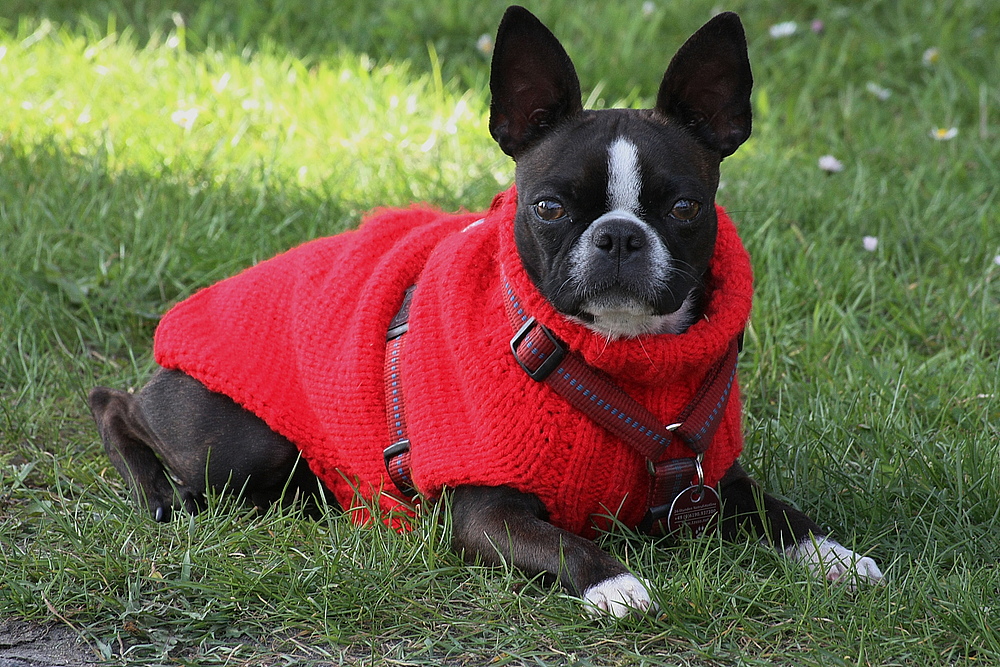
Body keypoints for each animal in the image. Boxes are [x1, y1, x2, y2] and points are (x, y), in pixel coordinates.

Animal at [86, 6, 884, 620]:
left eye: (686, 208)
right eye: (550, 207)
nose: (619, 235)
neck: (616, 361)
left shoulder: (708, 477)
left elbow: (778, 511)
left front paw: (837, 556)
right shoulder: (484, 511)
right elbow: (564, 542)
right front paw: (617, 584)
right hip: (236, 445)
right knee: (113, 404)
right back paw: (156, 489)